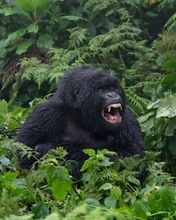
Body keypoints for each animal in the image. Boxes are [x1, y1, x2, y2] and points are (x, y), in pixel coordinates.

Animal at [16, 64, 146, 180]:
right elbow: (24, 158)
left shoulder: (129, 119)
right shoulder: (45, 113)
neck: (81, 116)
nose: (113, 95)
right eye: (101, 89)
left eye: (113, 87)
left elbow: (135, 161)